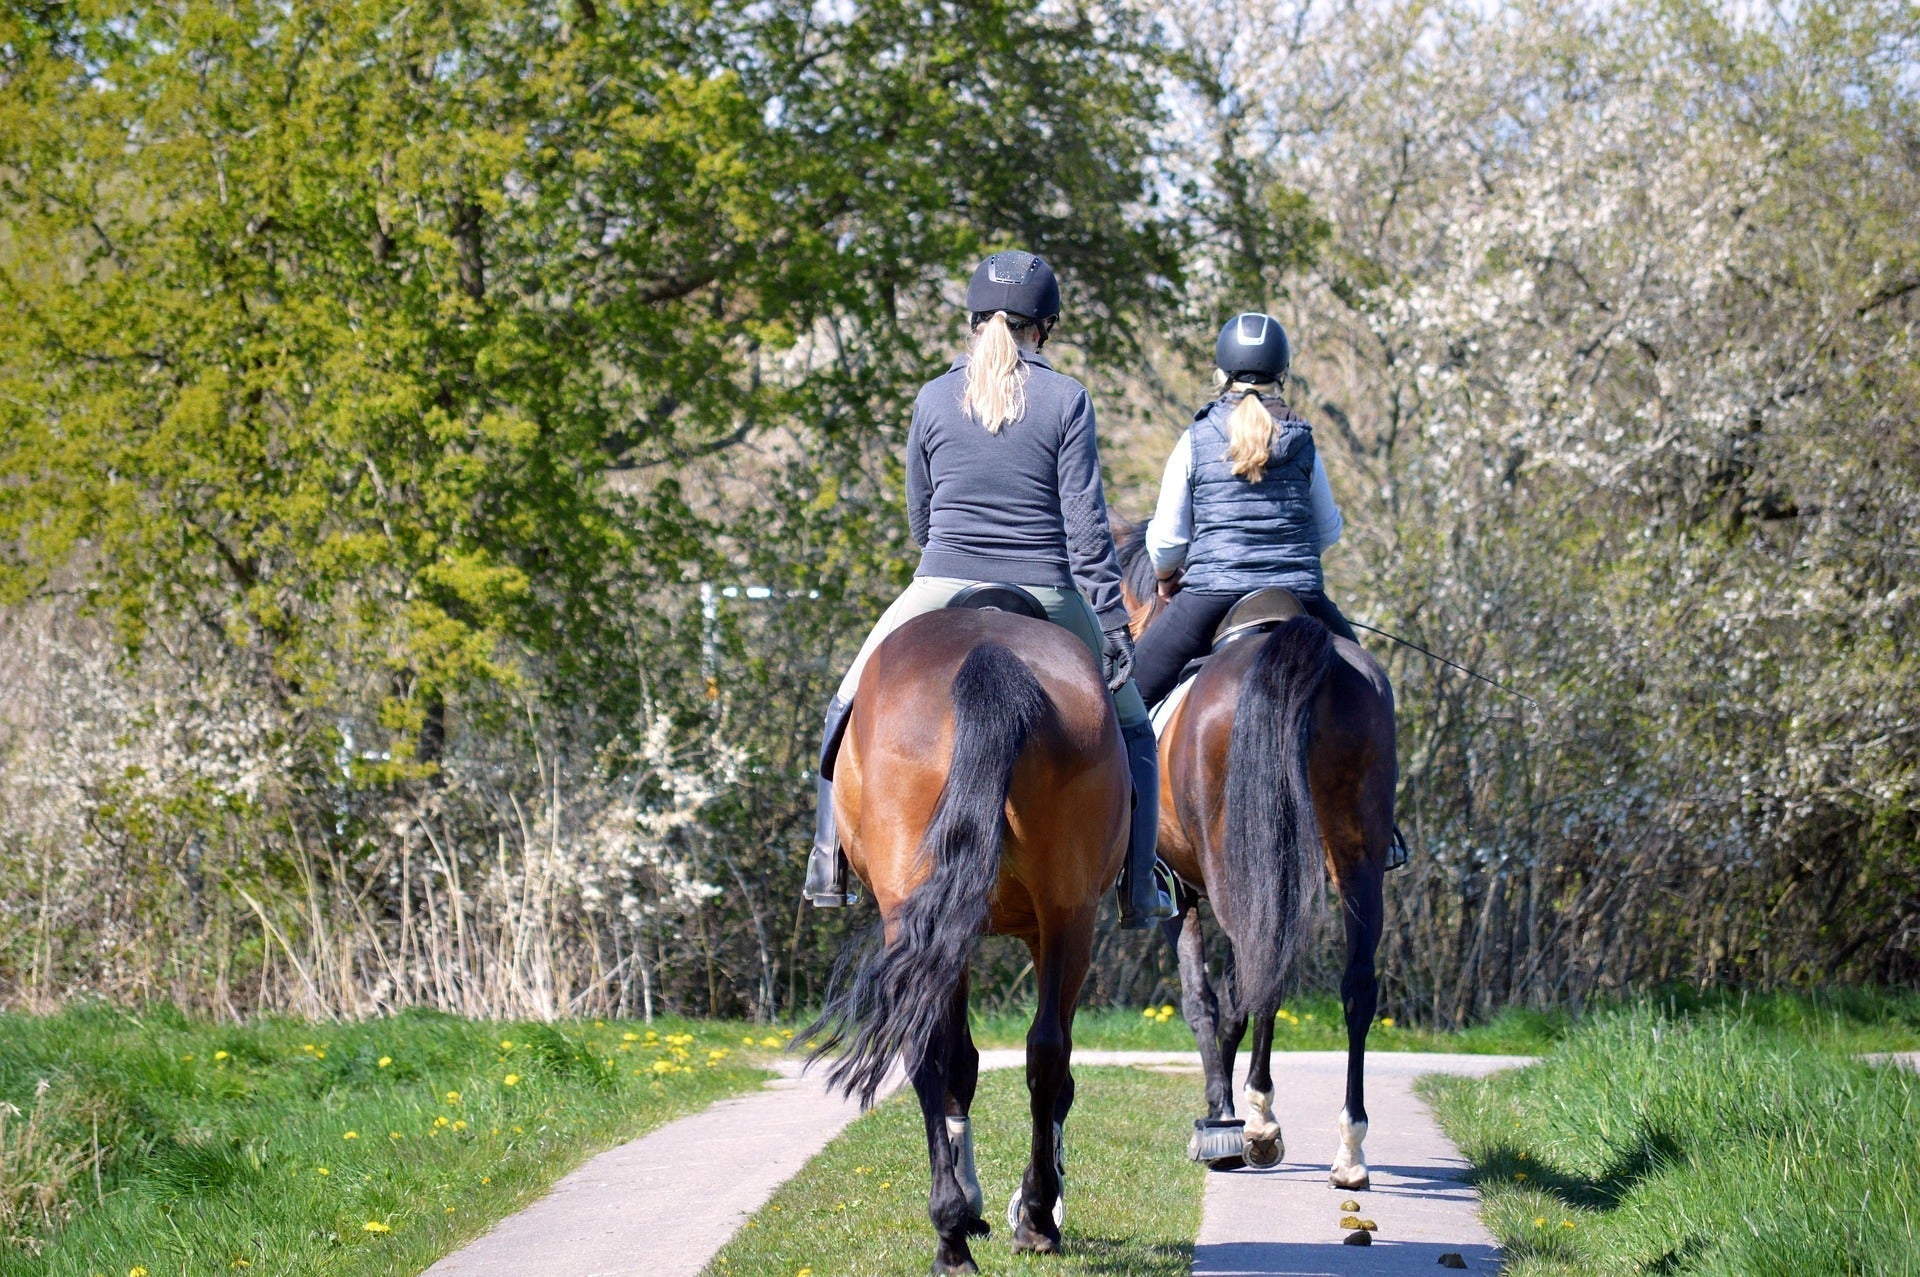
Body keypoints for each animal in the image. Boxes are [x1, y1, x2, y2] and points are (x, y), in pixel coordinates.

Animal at [800, 602, 1129, 1274]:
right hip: (1066, 913)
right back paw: (1019, 1220)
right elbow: (989, 1062)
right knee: (1043, 1051)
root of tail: (989, 657)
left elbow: (961, 1061)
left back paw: (968, 1229)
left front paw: (979, 1202)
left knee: (950, 1048)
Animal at [1116, 523, 1396, 1189]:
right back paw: (1349, 1150)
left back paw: (1254, 1124)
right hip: (1355, 855)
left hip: (1234, 867)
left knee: (1252, 971)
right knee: (1350, 982)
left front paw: (1220, 1118)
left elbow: (1201, 999)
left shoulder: (1181, 892)